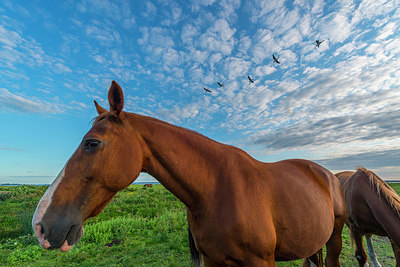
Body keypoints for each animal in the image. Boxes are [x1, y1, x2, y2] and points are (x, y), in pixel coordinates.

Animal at [32, 82, 346, 266]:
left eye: (92, 143)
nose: (40, 225)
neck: (216, 190)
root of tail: (327, 174)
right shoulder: (213, 261)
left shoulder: (261, 262)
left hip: (334, 239)